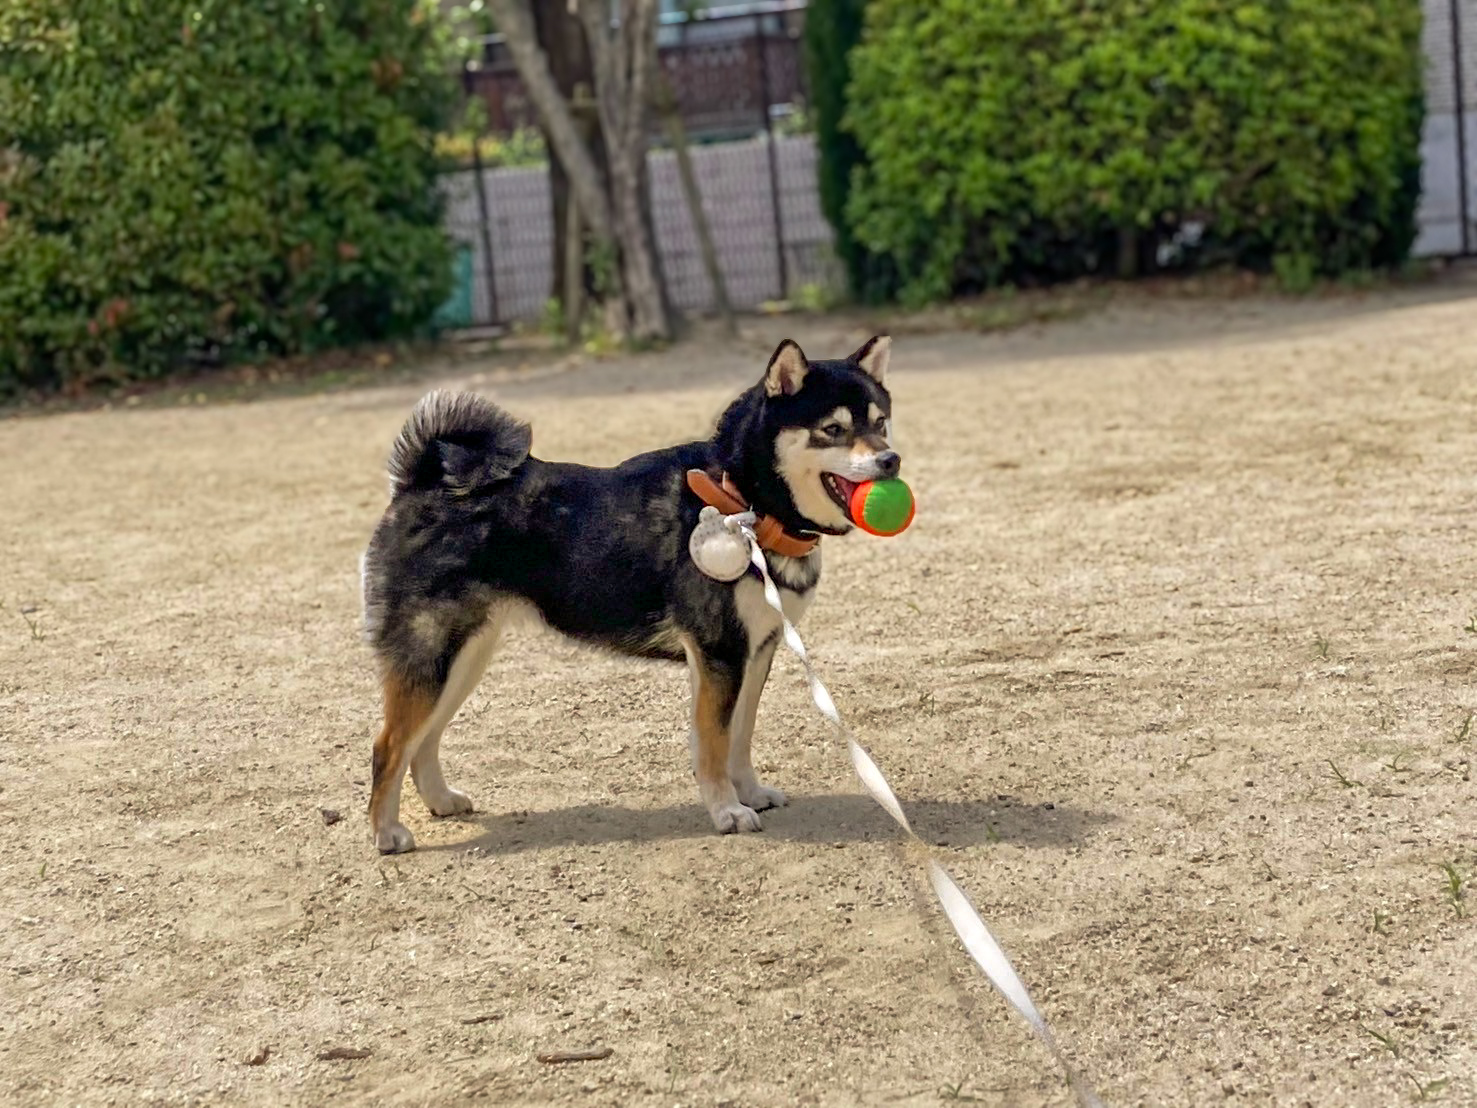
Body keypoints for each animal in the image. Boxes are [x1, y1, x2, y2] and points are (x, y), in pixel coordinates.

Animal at [361, 333, 892, 856]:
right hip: (431, 658)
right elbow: (715, 743)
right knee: (389, 746)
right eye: (832, 429)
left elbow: (739, 736)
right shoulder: (720, 653)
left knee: (423, 742)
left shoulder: (755, 651)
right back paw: (387, 834)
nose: (891, 460)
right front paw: (727, 811)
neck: (744, 499)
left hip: (462, 660)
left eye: (881, 422)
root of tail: (418, 484)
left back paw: (440, 801)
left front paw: (750, 792)